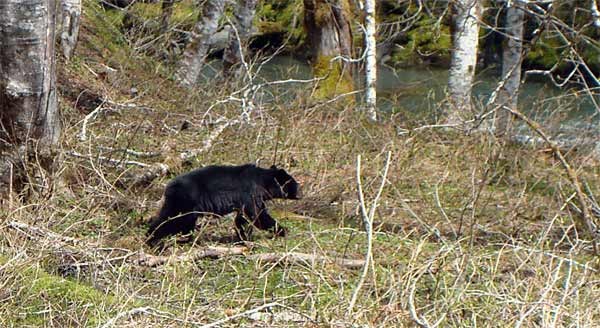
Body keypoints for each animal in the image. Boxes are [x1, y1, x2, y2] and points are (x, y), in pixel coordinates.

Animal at [146, 164, 300, 246]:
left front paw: (243, 236)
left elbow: (241, 218)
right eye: (294, 183)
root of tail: (169, 187)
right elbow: (258, 215)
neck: (262, 182)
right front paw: (282, 230)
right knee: (172, 220)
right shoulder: (250, 193)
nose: (301, 193)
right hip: (184, 202)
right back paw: (152, 239)